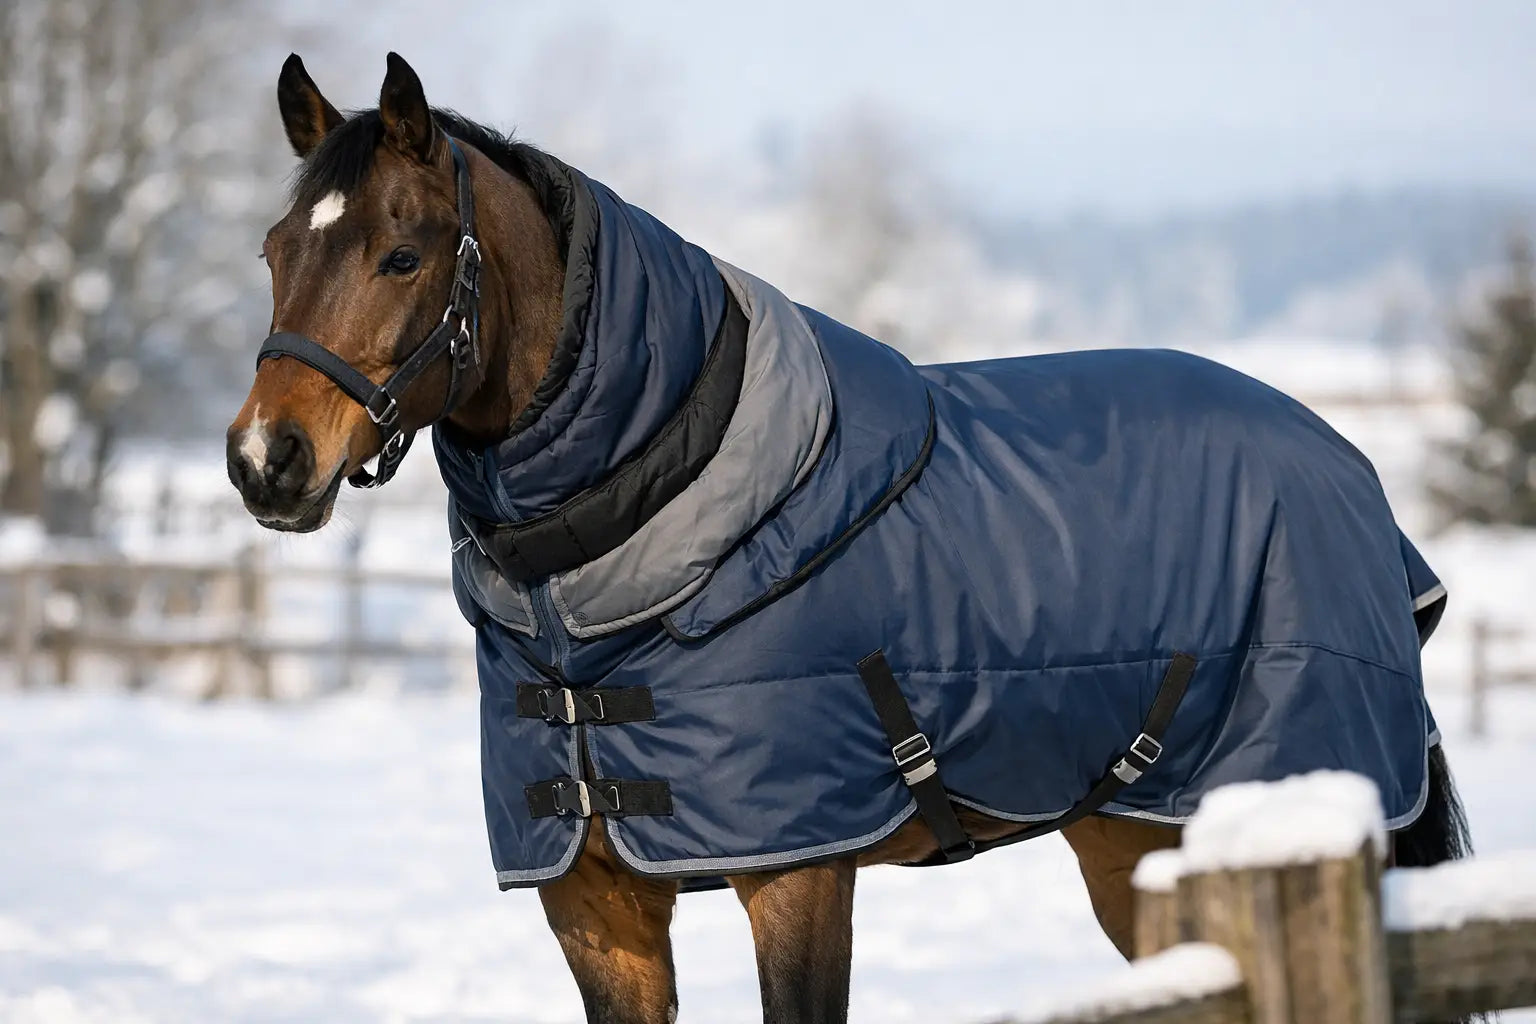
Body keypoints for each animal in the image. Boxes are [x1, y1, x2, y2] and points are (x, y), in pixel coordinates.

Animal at [227, 53, 1472, 1024]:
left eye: (402, 254)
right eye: (274, 250)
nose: (264, 461)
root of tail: (1351, 470)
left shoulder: (799, 876)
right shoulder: (595, 907)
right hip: (1138, 841)